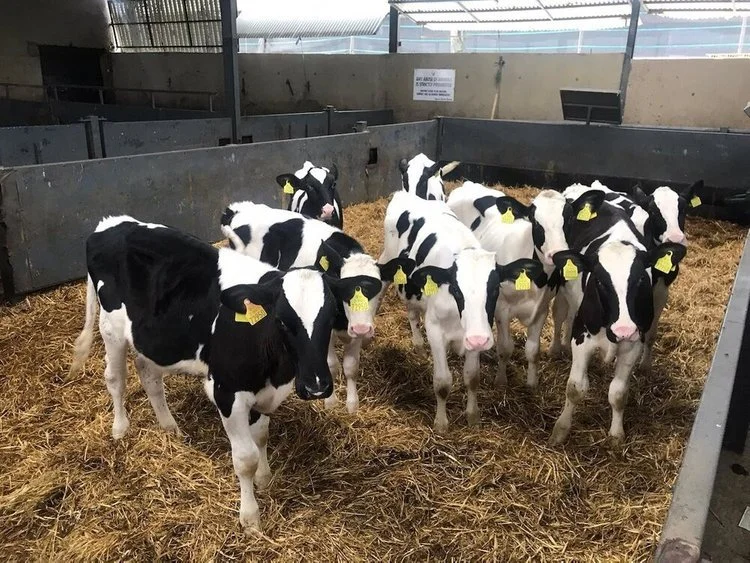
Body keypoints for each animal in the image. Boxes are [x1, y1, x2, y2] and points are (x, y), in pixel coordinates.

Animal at [68, 216, 338, 532]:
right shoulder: (227, 392)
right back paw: (120, 428)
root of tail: (112, 222)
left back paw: (169, 427)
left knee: (149, 375)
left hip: (152, 339)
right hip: (111, 327)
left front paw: (264, 478)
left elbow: (260, 437)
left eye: (331, 318)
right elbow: (245, 458)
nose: (317, 386)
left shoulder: (262, 390)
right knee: (115, 379)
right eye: (282, 320)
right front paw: (250, 517)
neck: (276, 369)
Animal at [221, 201, 413, 414]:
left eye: (378, 289)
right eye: (345, 290)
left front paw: (352, 405)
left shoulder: (353, 327)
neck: (341, 320)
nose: (363, 329)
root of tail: (237, 207)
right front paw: (330, 402)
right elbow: (332, 364)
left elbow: (351, 366)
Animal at [380, 191, 543, 431]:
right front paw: (441, 423)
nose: (479, 339)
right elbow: (442, 382)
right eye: (456, 289)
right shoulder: (435, 331)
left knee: (412, 310)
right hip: (390, 264)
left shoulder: (476, 334)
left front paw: (472, 416)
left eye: (495, 288)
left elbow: (472, 377)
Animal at [546, 203, 686, 444]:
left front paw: (616, 435)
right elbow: (574, 388)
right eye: (600, 280)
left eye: (641, 279)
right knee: (561, 315)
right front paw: (561, 430)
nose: (624, 329)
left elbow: (618, 394)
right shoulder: (582, 339)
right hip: (563, 289)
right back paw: (557, 347)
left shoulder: (632, 345)